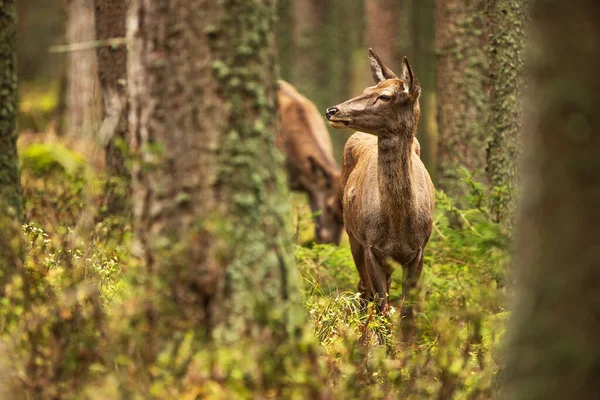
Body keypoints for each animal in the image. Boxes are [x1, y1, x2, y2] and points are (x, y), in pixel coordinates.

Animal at [326, 48, 434, 340]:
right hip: (352, 234)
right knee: (363, 291)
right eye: (368, 89)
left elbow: (407, 311)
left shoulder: (418, 250)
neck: (398, 223)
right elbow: (382, 305)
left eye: (385, 96)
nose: (331, 110)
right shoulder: (371, 246)